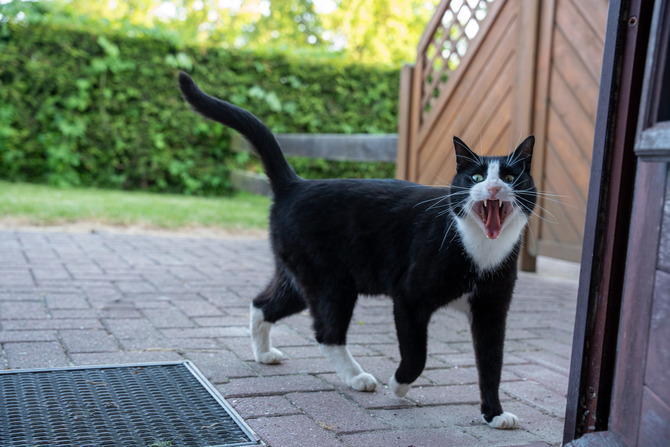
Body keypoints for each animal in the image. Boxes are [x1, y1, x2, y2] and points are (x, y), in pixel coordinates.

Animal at [180, 72, 540, 430]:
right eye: (476, 176)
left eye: (511, 176)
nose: (493, 187)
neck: (480, 250)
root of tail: (295, 185)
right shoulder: (408, 298)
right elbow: (417, 353)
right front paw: (399, 385)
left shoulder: (492, 310)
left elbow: (492, 364)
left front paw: (494, 413)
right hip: (330, 280)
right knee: (326, 333)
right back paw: (357, 377)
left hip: (298, 276)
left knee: (263, 303)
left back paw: (264, 353)